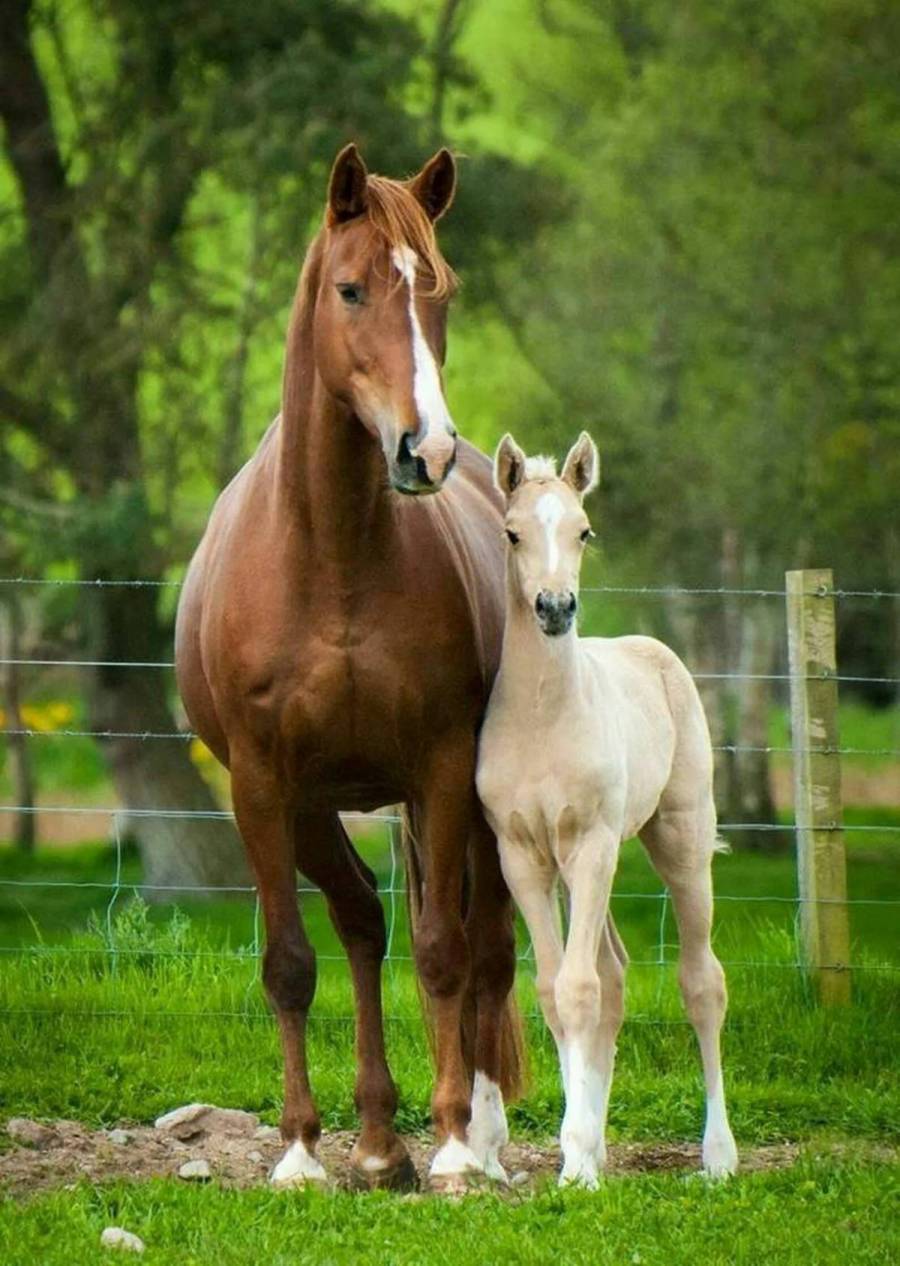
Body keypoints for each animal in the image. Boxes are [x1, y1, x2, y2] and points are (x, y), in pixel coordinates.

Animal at [174, 145, 521, 1184]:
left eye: (439, 290)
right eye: (352, 288)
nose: (426, 450)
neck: (330, 558)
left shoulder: (443, 769)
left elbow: (445, 952)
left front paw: (455, 1148)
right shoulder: (260, 783)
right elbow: (292, 961)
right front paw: (298, 1154)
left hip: (476, 810)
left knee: (489, 949)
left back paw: (480, 1141)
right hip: (314, 807)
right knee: (363, 920)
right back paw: (372, 1144)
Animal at [478, 432, 739, 1184]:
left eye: (584, 530)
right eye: (512, 532)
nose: (555, 607)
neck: (543, 718)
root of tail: (652, 649)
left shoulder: (592, 844)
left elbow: (579, 990)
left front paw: (579, 1165)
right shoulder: (523, 856)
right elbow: (555, 992)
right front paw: (578, 1149)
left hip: (679, 840)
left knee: (701, 982)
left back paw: (719, 1156)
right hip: (576, 868)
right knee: (615, 975)